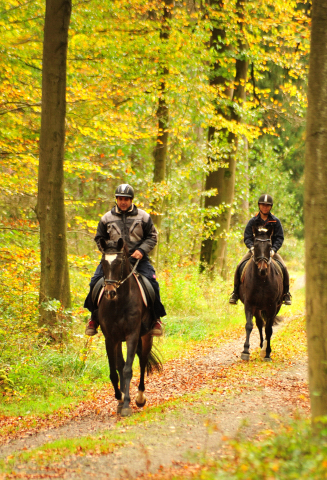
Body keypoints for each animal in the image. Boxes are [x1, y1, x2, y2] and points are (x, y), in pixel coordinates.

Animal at [98, 237, 163, 416]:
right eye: (103, 262)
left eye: (119, 262)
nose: (110, 292)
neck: (119, 302)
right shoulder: (110, 338)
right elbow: (115, 370)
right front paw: (120, 399)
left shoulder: (132, 335)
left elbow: (128, 369)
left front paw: (127, 404)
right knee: (121, 365)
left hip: (146, 337)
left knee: (142, 362)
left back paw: (140, 398)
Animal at [238, 221, 284, 360]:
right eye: (255, 245)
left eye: (269, 246)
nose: (262, 269)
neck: (262, 280)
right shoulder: (249, 304)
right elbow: (249, 325)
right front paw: (245, 351)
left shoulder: (272, 306)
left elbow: (269, 329)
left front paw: (267, 352)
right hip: (257, 308)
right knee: (259, 323)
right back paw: (260, 344)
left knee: (267, 325)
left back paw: (264, 349)